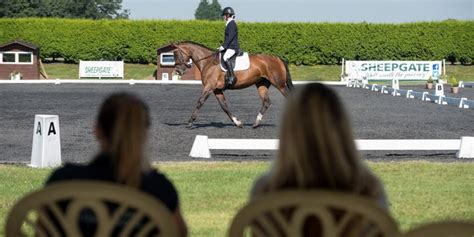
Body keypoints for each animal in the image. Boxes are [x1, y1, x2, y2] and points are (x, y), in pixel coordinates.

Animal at [159, 41, 292, 129]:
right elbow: (224, 106)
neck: (207, 61)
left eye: (176, 54)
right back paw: (255, 123)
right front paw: (237, 122)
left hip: (280, 84)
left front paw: (190, 122)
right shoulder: (217, 90)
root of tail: (278, 58)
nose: (178, 71)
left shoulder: (209, 87)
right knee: (266, 102)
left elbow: (200, 102)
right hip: (262, 84)